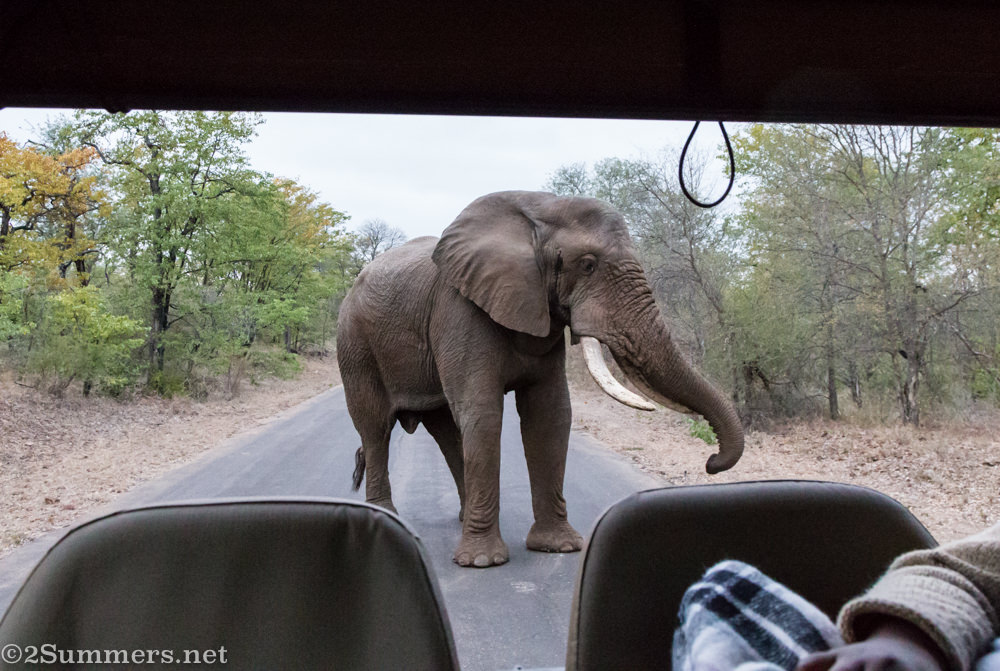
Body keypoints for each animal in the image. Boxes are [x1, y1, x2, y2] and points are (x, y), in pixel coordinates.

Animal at [336, 191, 744, 568]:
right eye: (588, 265)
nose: (711, 462)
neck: (538, 211)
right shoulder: (459, 309)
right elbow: (484, 414)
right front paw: (483, 562)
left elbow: (549, 415)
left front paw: (558, 547)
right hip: (355, 345)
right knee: (376, 428)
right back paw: (386, 517)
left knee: (446, 431)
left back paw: (463, 517)